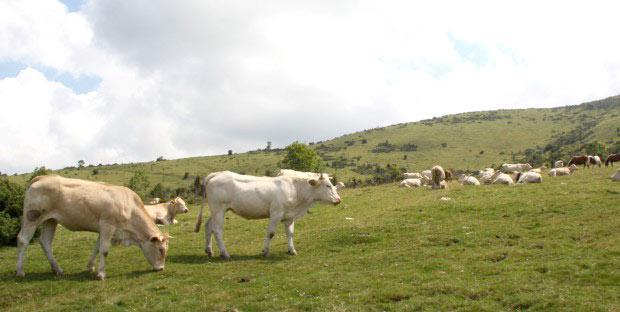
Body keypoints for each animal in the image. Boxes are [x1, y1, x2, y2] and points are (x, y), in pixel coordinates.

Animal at [16, 176, 170, 280]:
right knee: (23, 240)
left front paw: (90, 267)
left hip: (51, 220)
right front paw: (101, 274)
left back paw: (57, 269)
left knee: (46, 242)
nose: (161, 269)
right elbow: (104, 250)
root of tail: (42, 177)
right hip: (32, 217)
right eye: (161, 250)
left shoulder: (102, 229)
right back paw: (20, 271)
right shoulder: (107, 225)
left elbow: (97, 248)